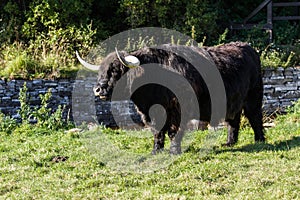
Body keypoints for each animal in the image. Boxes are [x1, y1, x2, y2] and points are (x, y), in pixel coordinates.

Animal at [77, 41, 264, 155]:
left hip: (253, 96)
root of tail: (247, 47)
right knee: (234, 120)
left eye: (115, 70)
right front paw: (156, 150)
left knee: (255, 117)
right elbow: (157, 131)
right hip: (234, 101)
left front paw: (174, 150)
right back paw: (230, 143)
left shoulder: (177, 109)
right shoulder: (150, 112)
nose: (97, 89)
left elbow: (174, 131)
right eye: (101, 72)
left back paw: (259, 140)